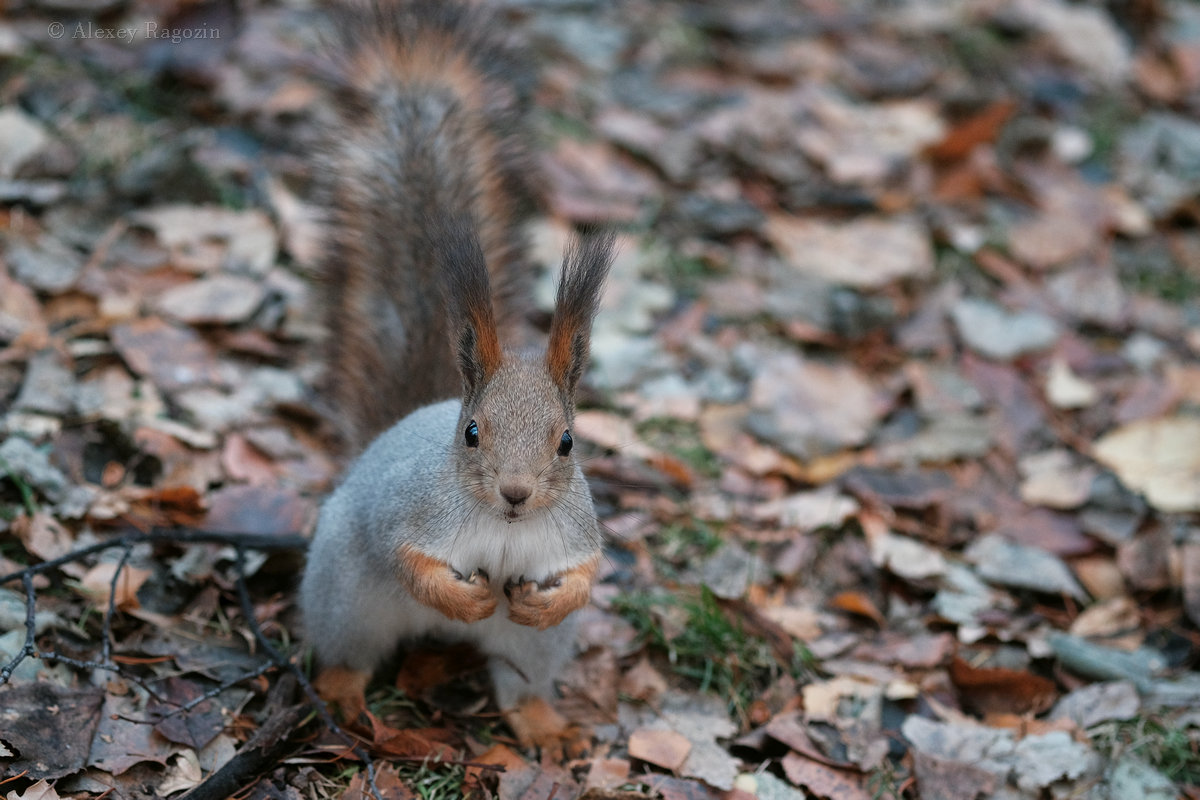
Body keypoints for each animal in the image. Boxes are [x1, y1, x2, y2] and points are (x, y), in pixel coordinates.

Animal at [298, 0, 614, 753]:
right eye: (472, 433)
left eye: (568, 441)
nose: (517, 494)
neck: (501, 526)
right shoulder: (407, 512)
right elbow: (406, 559)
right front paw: (459, 594)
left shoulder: (576, 528)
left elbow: (587, 571)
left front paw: (557, 597)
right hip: (344, 595)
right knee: (348, 654)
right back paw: (344, 694)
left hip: (534, 652)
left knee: (521, 680)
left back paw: (543, 723)